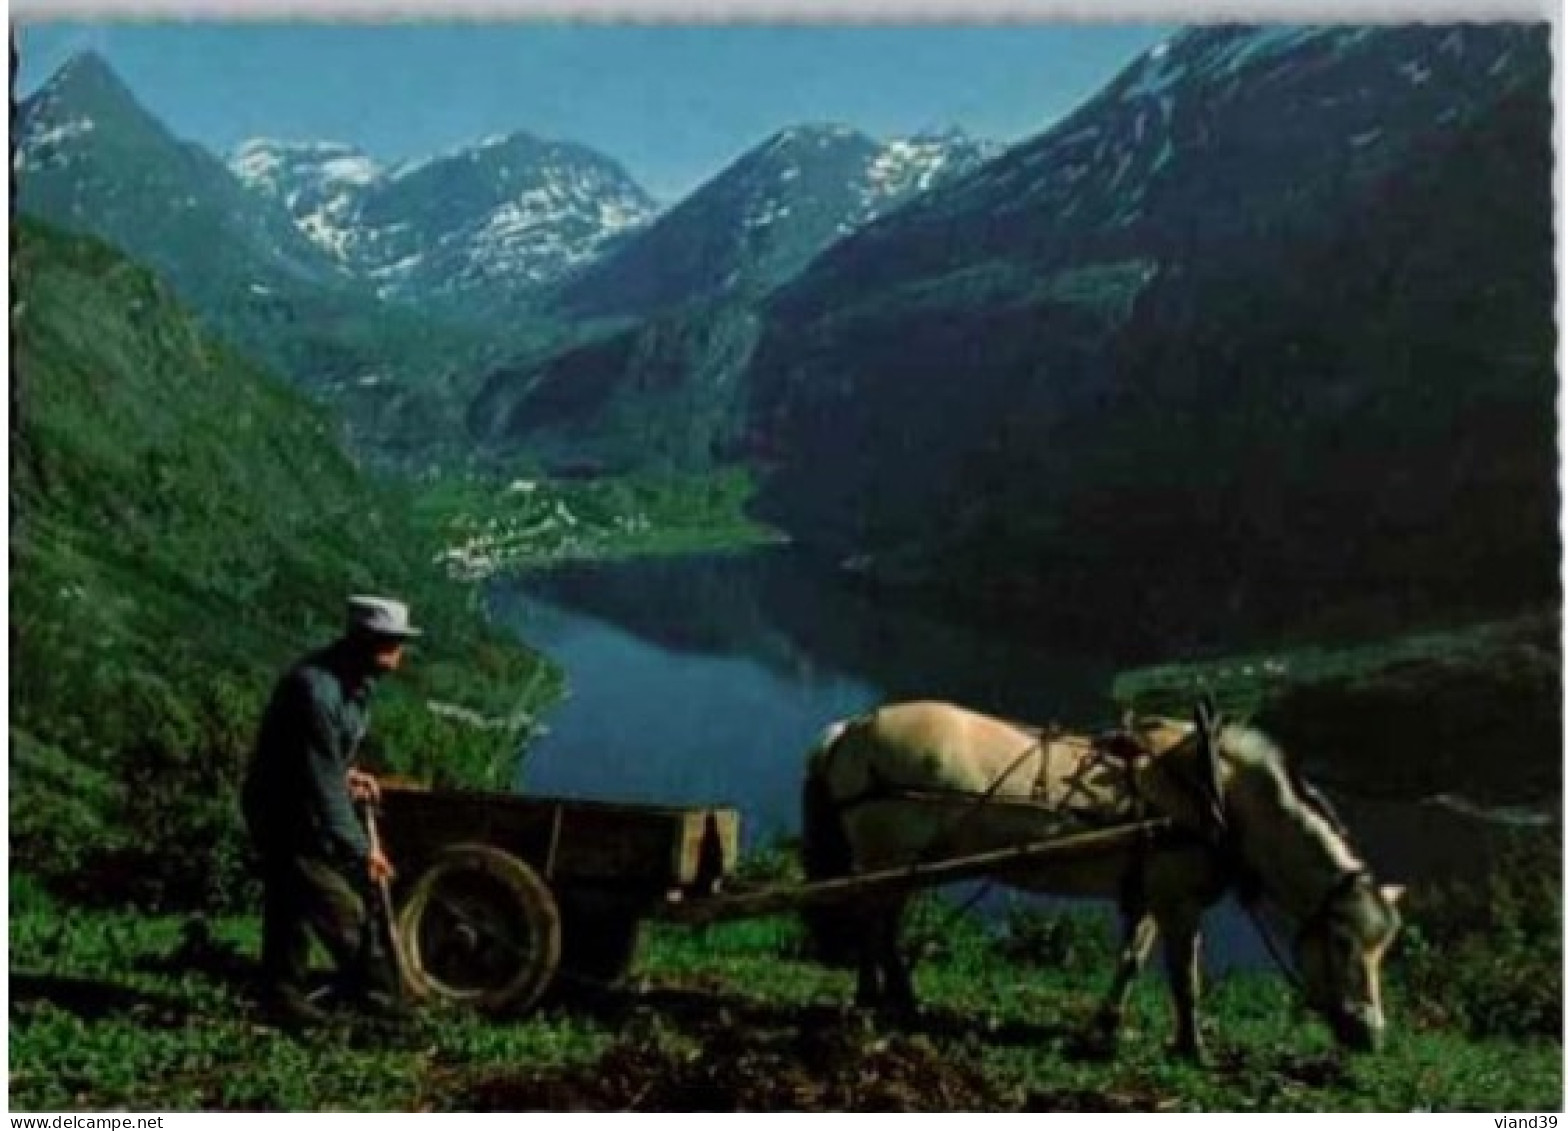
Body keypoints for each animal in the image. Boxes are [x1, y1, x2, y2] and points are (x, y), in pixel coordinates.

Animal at [802, 696, 1404, 1060]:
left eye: (1382, 951)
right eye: (1343, 942)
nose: (1371, 1035)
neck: (1215, 796)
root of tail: (853, 727)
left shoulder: (1148, 895)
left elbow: (1132, 960)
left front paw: (1109, 1025)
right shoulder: (1178, 903)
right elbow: (1184, 978)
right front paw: (1192, 1046)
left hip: (906, 864)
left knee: (881, 924)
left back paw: (890, 996)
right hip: (888, 858)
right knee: (874, 923)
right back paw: (883, 997)